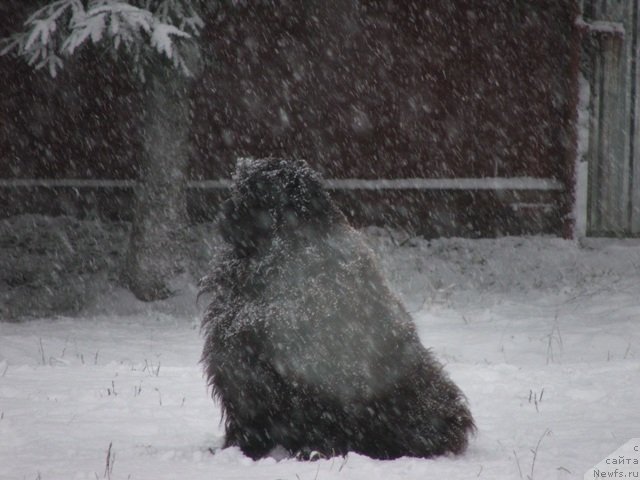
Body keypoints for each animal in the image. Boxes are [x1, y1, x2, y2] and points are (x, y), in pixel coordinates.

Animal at [200, 159, 476, 460]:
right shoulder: (238, 368)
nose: (225, 212)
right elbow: (247, 419)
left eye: (254, 194)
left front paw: (313, 451)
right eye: (240, 190)